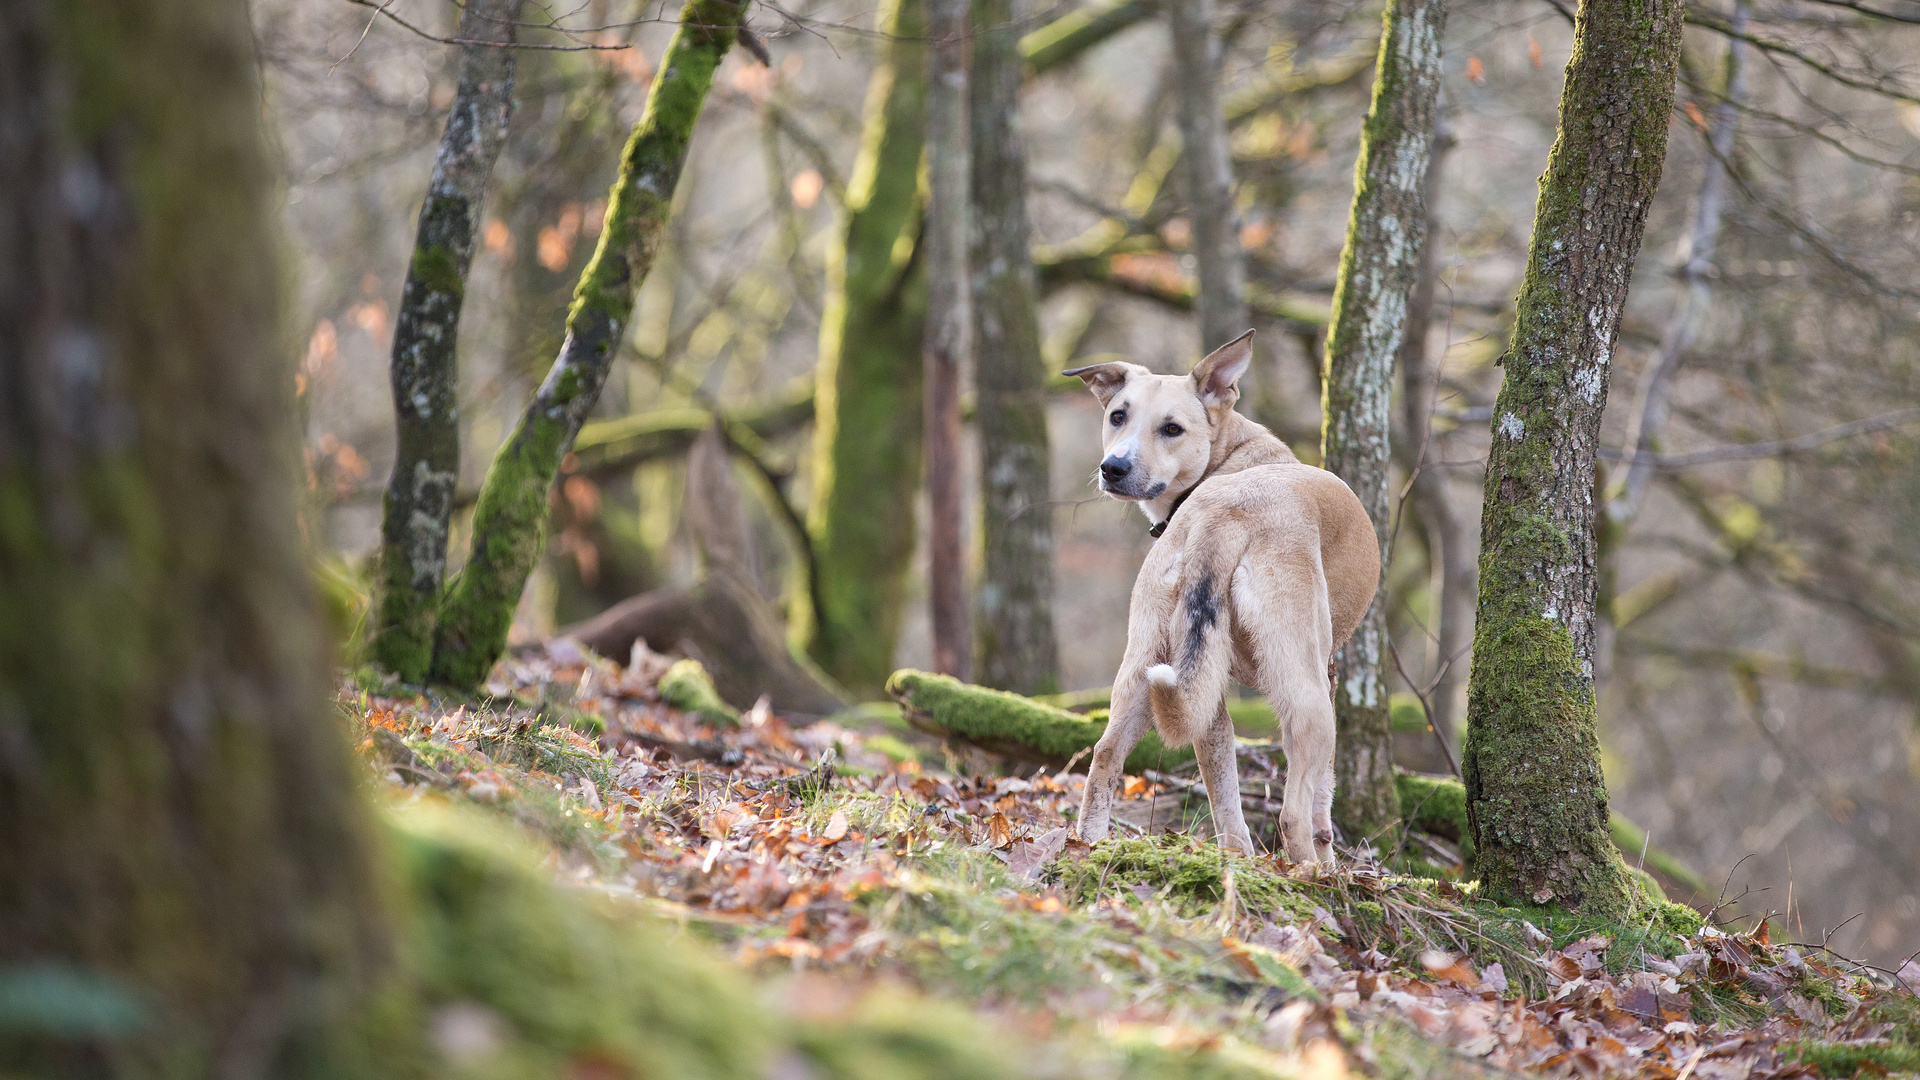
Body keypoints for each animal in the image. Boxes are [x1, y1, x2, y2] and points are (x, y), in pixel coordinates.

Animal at [1067, 332, 1382, 860]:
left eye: (1171, 428)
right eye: (1119, 416)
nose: (1113, 468)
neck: (1231, 459)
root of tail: (1226, 511)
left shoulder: (1204, 692)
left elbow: (1223, 793)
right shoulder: (1328, 676)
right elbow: (1323, 798)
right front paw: (1328, 853)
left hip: (1147, 668)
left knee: (1107, 756)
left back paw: (1089, 845)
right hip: (1308, 696)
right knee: (1293, 813)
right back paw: (1312, 873)